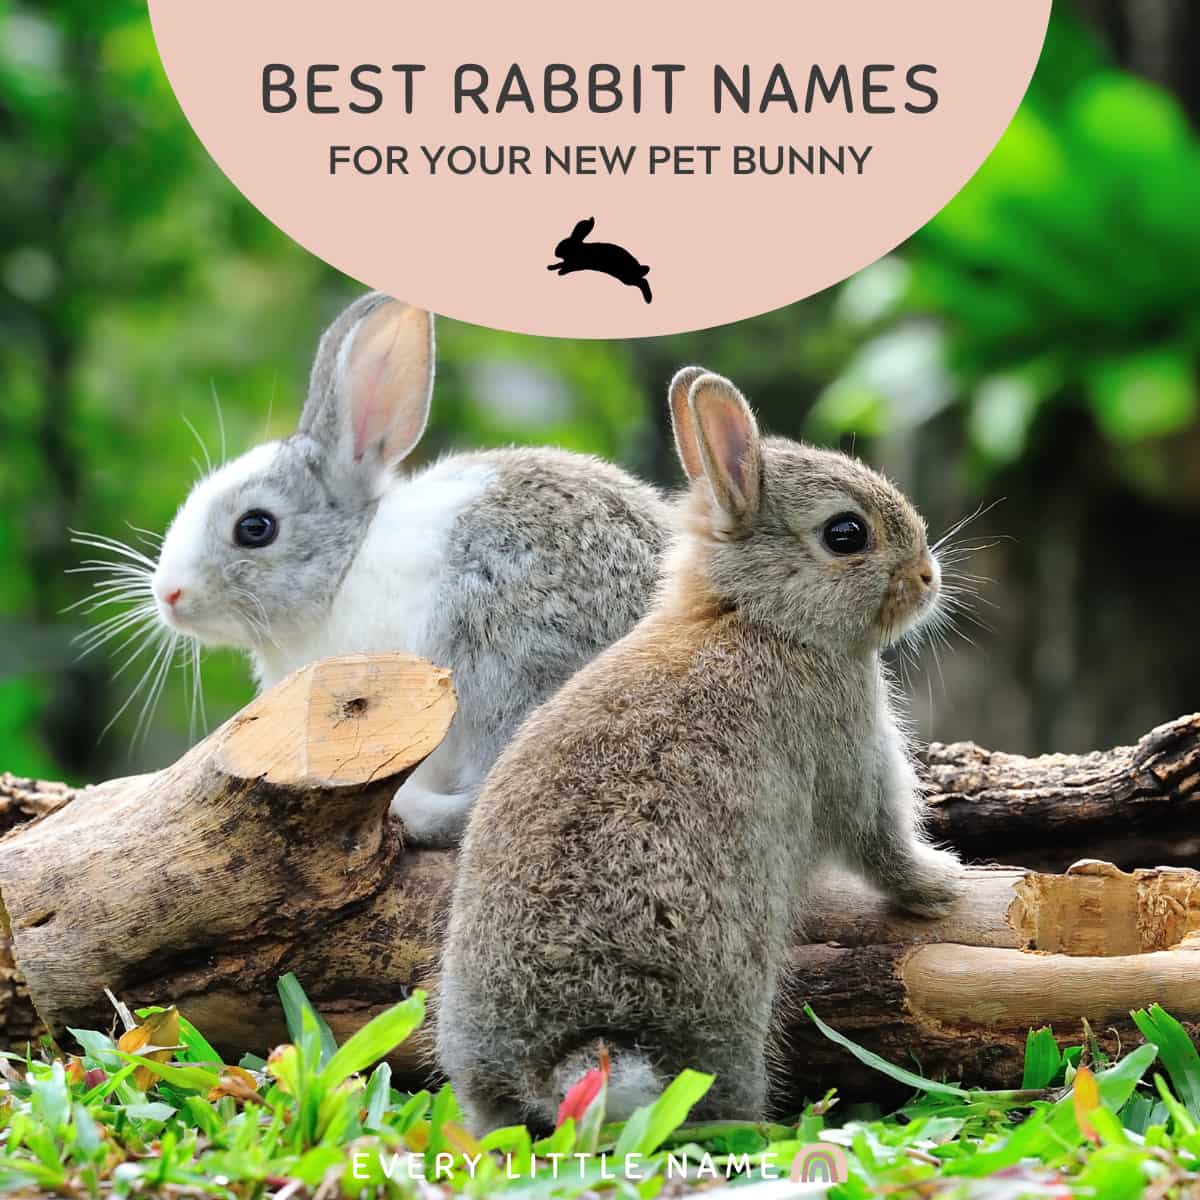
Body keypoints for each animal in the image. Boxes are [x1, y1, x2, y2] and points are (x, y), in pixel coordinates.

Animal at [438, 368, 964, 1132]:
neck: (757, 617)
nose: (928, 577)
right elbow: (881, 843)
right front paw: (942, 885)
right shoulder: (849, 751)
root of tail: (561, 1057)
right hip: (725, 1008)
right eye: (846, 534)